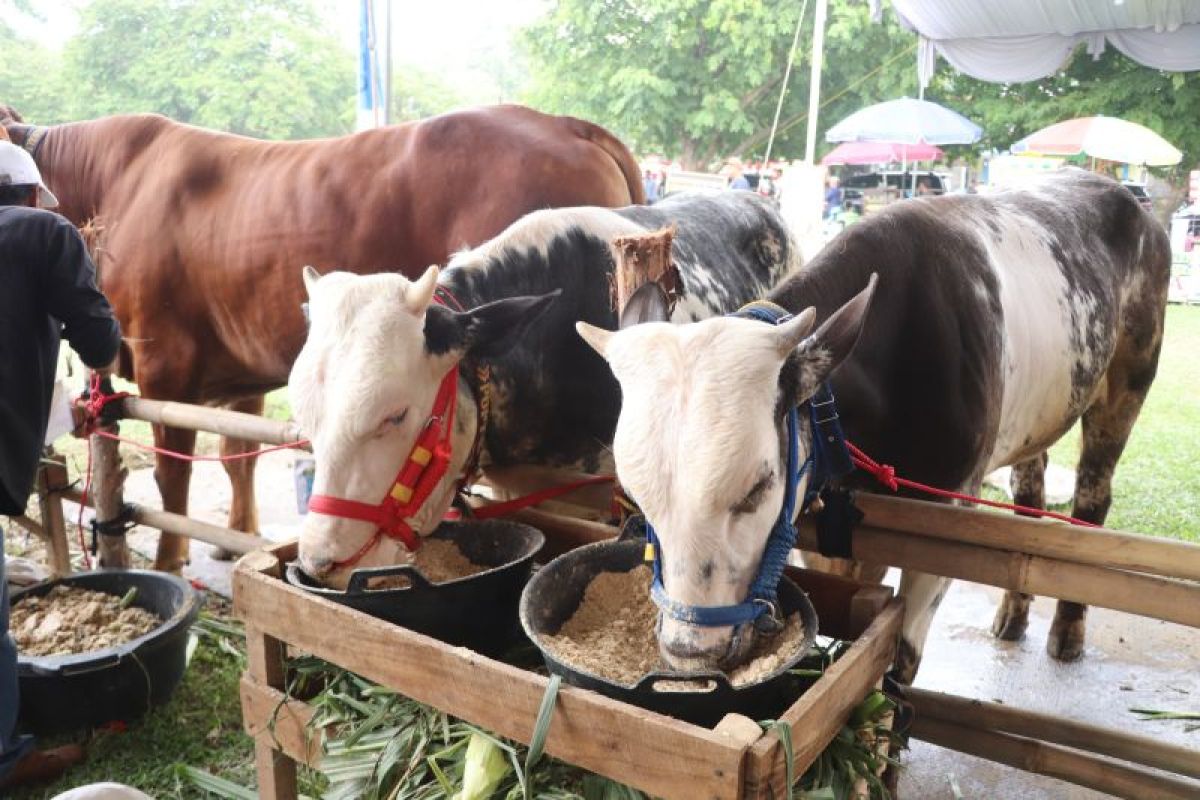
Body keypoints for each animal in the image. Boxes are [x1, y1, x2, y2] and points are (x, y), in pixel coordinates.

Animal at [2, 104, 648, 568]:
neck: (112, 187)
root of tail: (566, 123)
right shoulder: (240, 376)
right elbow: (235, 458)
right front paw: (236, 536)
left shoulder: (167, 369)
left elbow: (172, 479)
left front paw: (170, 562)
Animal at [580, 170, 1171, 681]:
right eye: (638, 498)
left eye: (756, 488)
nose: (689, 652)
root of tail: (1129, 200)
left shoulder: (949, 507)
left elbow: (898, 659)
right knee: (1030, 495)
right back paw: (1014, 615)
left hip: (1129, 380)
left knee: (1092, 500)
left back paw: (1067, 629)